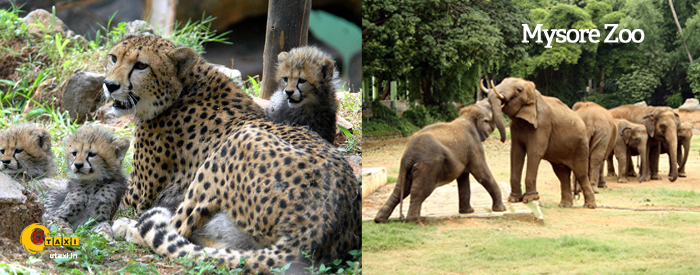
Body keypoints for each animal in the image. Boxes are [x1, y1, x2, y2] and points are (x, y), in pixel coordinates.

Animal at [107, 35, 360, 274]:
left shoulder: (137, 197)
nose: (109, 85)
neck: (186, 86)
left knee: (176, 227)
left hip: (237, 141)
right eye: (113, 58)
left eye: (141, 65)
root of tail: (323, 227)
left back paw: (128, 228)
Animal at [374, 98, 506, 225]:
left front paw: (467, 212)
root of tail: (408, 156)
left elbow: (463, 178)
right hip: (429, 165)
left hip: (405, 168)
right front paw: (501, 209)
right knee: (419, 191)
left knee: (400, 189)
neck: (467, 115)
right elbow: (481, 174)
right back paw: (416, 223)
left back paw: (380, 220)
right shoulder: (474, 147)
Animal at [486, 77, 596, 209]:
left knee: (580, 173)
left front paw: (529, 199)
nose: (502, 140)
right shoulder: (515, 127)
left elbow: (535, 152)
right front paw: (513, 199)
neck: (534, 95)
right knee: (562, 174)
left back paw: (589, 206)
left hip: (580, 145)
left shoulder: (543, 124)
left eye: (518, 90)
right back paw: (564, 205)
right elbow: (516, 153)